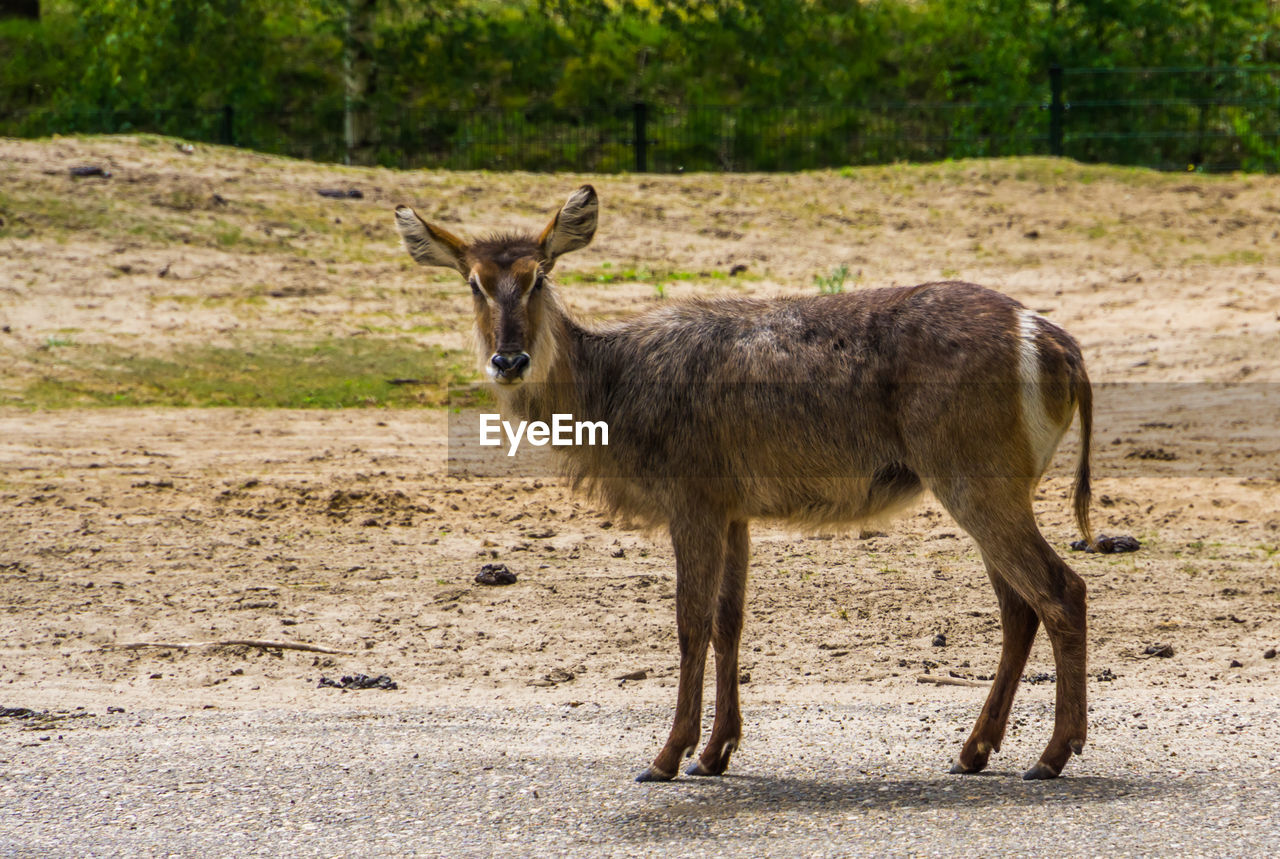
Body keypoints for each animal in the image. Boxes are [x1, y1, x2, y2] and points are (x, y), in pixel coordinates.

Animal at [394, 184, 1095, 783]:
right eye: (474, 283)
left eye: (538, 275)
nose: (508, 360)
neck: (611, 396)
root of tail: (1059, 345)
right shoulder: (734, 507)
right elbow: (730, 620)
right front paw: (715, 753)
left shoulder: (693, 497)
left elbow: (690, 620)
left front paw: (666, 757)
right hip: (987, 485)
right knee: (1019, 607)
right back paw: (972, 751)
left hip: (973, 478)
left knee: (1061, 589)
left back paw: (1052, 755)